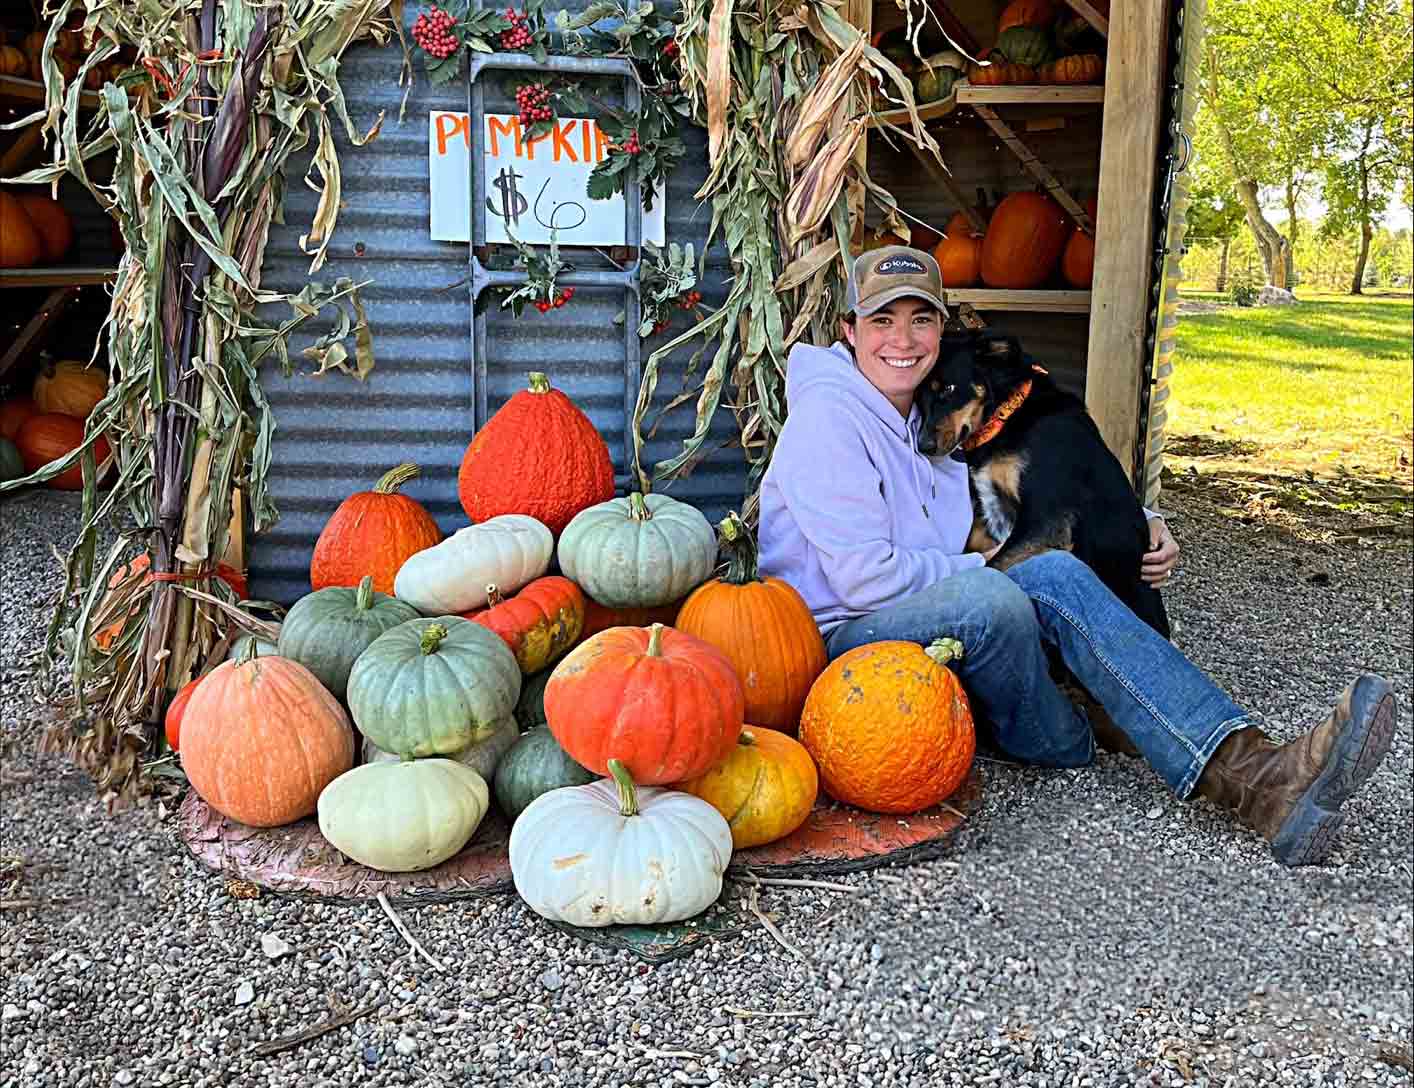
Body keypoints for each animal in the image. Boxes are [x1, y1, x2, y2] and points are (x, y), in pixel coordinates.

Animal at [916, 331, 1170, 636]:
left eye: (948, 389)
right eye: (918, 396)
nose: (922, 446)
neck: (1007, 415)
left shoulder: (1045, 521)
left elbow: (993, 565)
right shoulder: (988, 516)